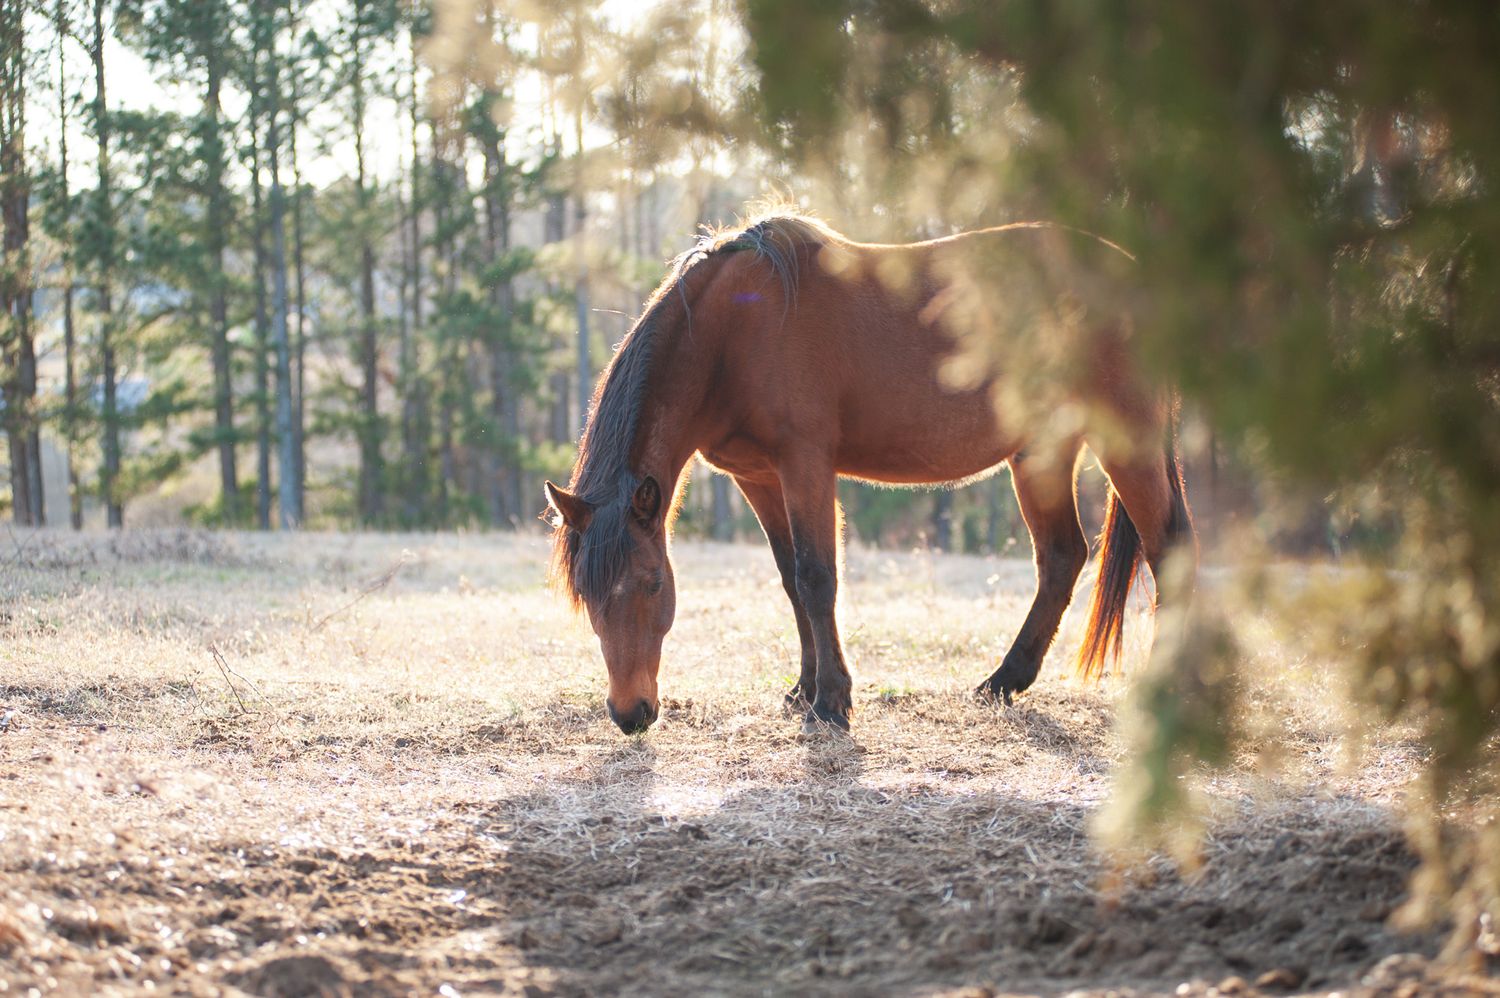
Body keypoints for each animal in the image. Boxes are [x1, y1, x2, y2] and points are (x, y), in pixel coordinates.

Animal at [544, 212, 1195, 734]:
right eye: (586, 594)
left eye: (653, 584)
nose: (630, 714)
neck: (735, 331)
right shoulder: (759, 478)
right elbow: (791, 580)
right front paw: (803, 691)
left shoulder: (804, 463)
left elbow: (816, 576)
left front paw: (832, 702)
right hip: (1040, 452)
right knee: (1063, 557)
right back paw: (1003, 683)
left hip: (1121, 441)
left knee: (1165, 550)